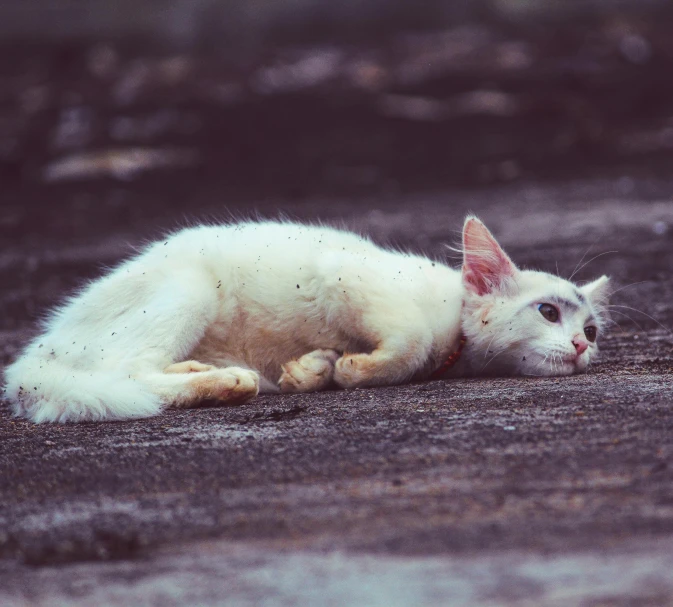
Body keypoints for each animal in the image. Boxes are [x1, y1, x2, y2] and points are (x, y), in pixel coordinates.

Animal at [2, 217, 608, 422]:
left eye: (592, 330)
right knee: (123, 373)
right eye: (547, 312)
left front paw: (314, 369)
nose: (581, 348)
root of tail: (34, 357)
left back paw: (216, 377)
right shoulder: (343, 274)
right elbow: (409, 343)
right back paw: (226, 383)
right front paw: (356, 370)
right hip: (187, 291)